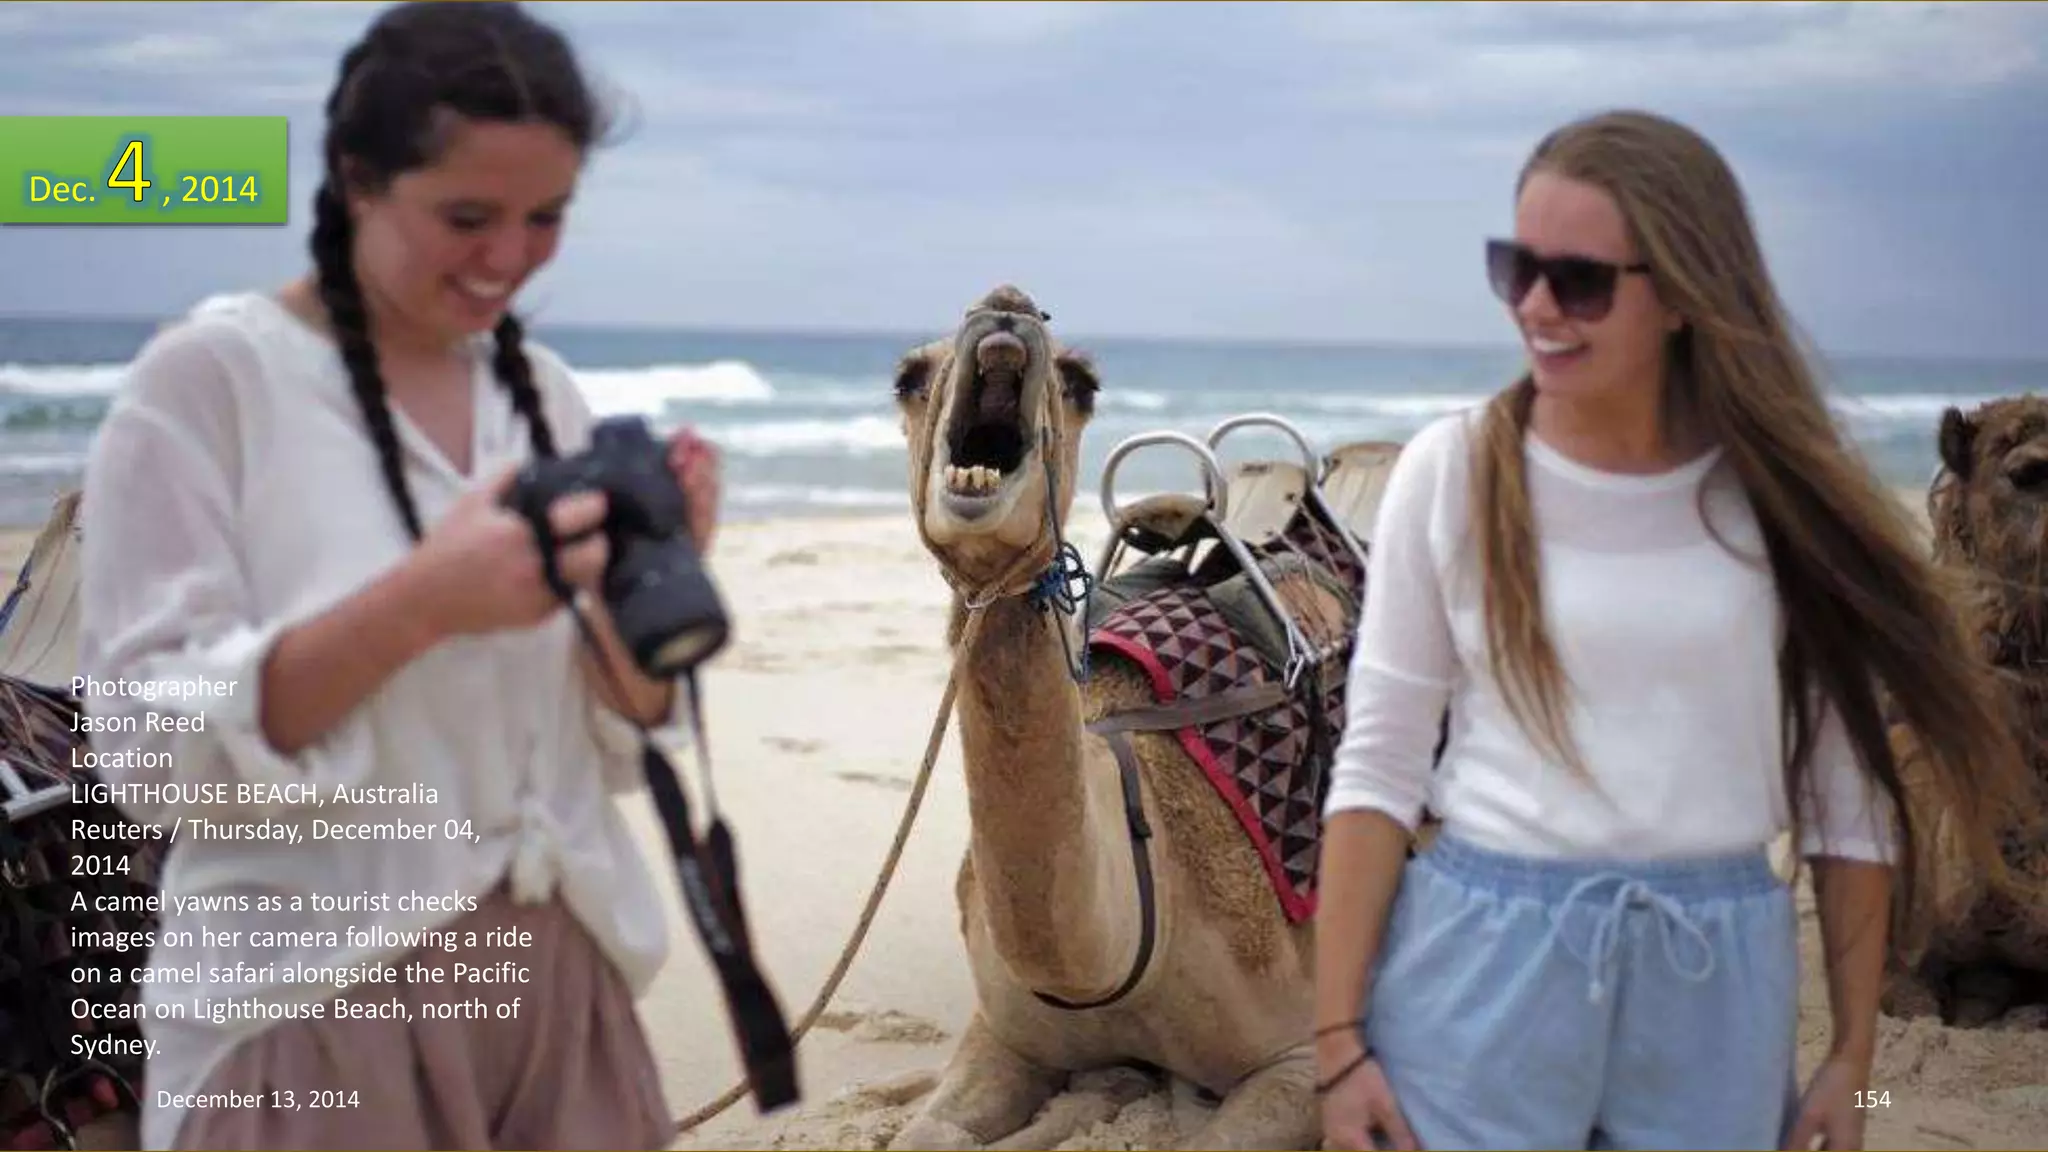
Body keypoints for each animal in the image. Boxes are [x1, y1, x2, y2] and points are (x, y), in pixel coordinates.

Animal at [885, 285, 1332, 1150]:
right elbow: (925, 1134)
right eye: (908, 377)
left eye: (1083, 382)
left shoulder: (1300, 1057)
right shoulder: (1001, 1032)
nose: (1005, 308)